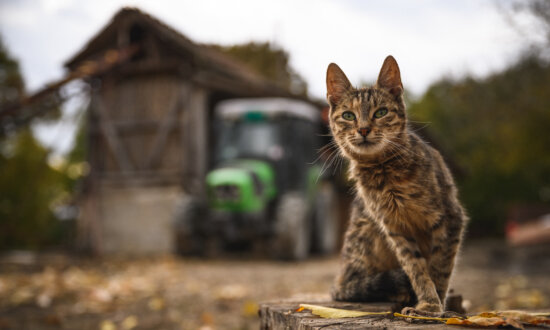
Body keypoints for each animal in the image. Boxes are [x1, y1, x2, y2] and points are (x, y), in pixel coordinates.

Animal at [328, 55, 470, 314]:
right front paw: (428, 302)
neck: (384, 172)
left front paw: (432, 307)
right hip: (366, 232)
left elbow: (440, 267)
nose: (363, 129)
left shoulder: (450, 217)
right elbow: (416, 268)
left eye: (381, 112)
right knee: (351, 285)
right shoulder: (395, 228)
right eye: (348, 116)